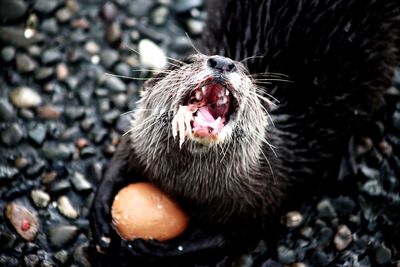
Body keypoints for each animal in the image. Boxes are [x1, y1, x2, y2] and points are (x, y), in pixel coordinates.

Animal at [90, 0, 400, 266]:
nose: (222, 62)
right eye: (188, 60)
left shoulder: (263, 195)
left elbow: (225, 238)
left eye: (245, 71)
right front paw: (101, 213)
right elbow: (120, 156)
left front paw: (158, 250)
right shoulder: (138, 143)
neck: (182, 184)